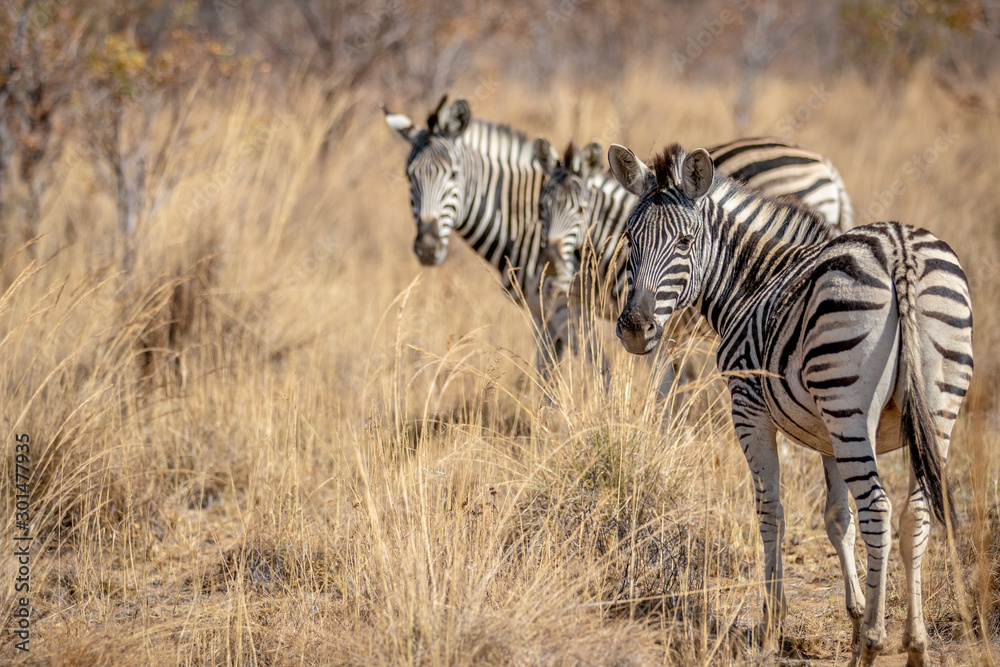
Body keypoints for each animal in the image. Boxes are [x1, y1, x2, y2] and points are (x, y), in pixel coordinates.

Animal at [383, 96, 568, 371]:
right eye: (409, 176)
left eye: (453, 174)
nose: (427, 247)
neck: (527, 221)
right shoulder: (542, 313)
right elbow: (549, 370)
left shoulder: (568, 310)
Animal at [608, 141, 973, 667]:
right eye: (630, 239)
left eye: (684, 241)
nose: (636, 330)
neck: (752, 280)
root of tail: (899, 251)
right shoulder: (827, 434)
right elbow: (837, 517)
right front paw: (854, 614)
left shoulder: (748, 408)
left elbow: (771, 510)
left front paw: (773, 623)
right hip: (934, 408)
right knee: (914, 512)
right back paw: (915, 643)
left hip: (848, 406)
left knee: (879, 508)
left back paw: (874, 642)